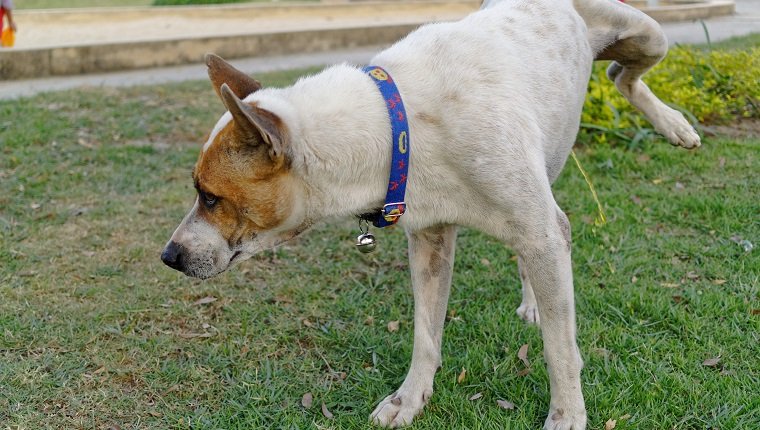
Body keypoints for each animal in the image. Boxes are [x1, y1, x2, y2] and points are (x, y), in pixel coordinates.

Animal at [160, 1, 700, 428]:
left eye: (209, 196)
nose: (169, 255)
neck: (397, 125)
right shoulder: (431, 239)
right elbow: (425, 333)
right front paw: (410, 398)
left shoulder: (541, 231)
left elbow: (560, 348)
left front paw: (567, 414)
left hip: (647, 35)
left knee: (622, 75)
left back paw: (674, 124)